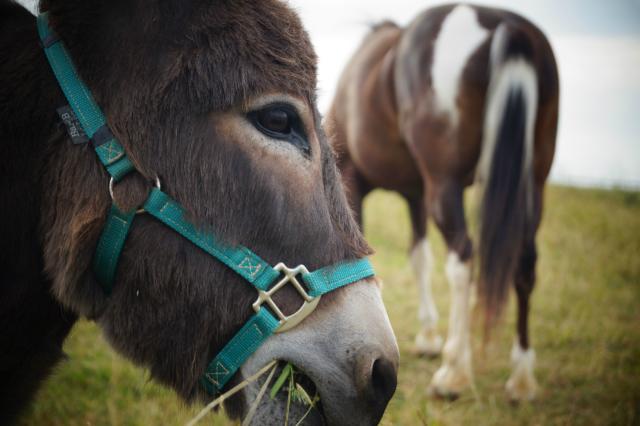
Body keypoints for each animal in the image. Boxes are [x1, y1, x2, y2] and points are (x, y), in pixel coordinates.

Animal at [328, 4, 556, 402]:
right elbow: (419, 257)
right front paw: (427, 337)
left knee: (462, 259)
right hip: (532, 185)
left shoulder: (353, 180)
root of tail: (505, 24)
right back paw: (522, 379)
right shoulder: (416, 193)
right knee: (525, 264)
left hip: (445, 187)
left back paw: (454, 373)